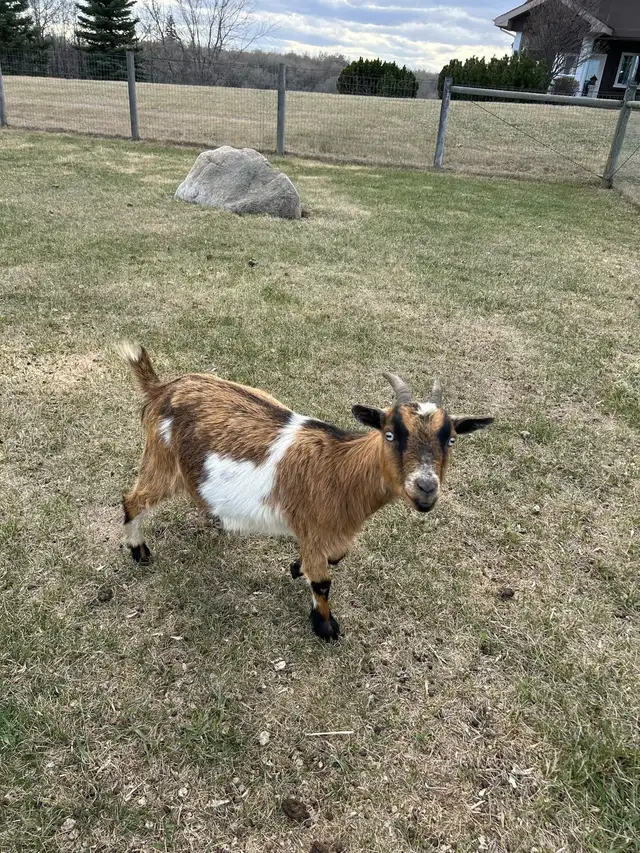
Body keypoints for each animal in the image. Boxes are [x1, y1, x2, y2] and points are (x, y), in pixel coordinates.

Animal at [118, 343, 493, 641]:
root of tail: (160, 388)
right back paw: (140, 552)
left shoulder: (329, 533)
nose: (426, 488)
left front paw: (296, 567)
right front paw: (325, 627)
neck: (341, 470)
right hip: (162, 462)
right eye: (390, 434)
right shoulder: (314, 527)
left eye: (451, 439)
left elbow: (334, 557)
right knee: (132, 501)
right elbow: (323, 582)